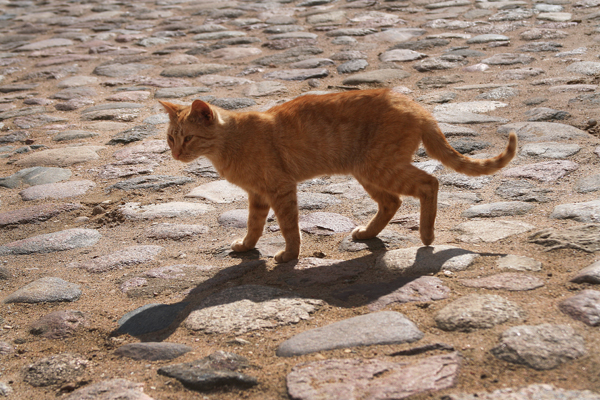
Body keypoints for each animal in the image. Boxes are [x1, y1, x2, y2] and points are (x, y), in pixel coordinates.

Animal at [160, 88, 517, 263]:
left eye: (187, 138)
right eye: (170, 138)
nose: (175, 154)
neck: (228, 144)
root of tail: (415, 105)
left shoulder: (280, 188)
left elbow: (289, 227)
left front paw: (289, 256)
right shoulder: (258, 195)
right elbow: (254, 225)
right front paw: (247, 246)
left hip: (379, 167)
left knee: (430, 183)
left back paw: (427, 236)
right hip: (368, 171)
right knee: (392, 202)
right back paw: (368, 233)